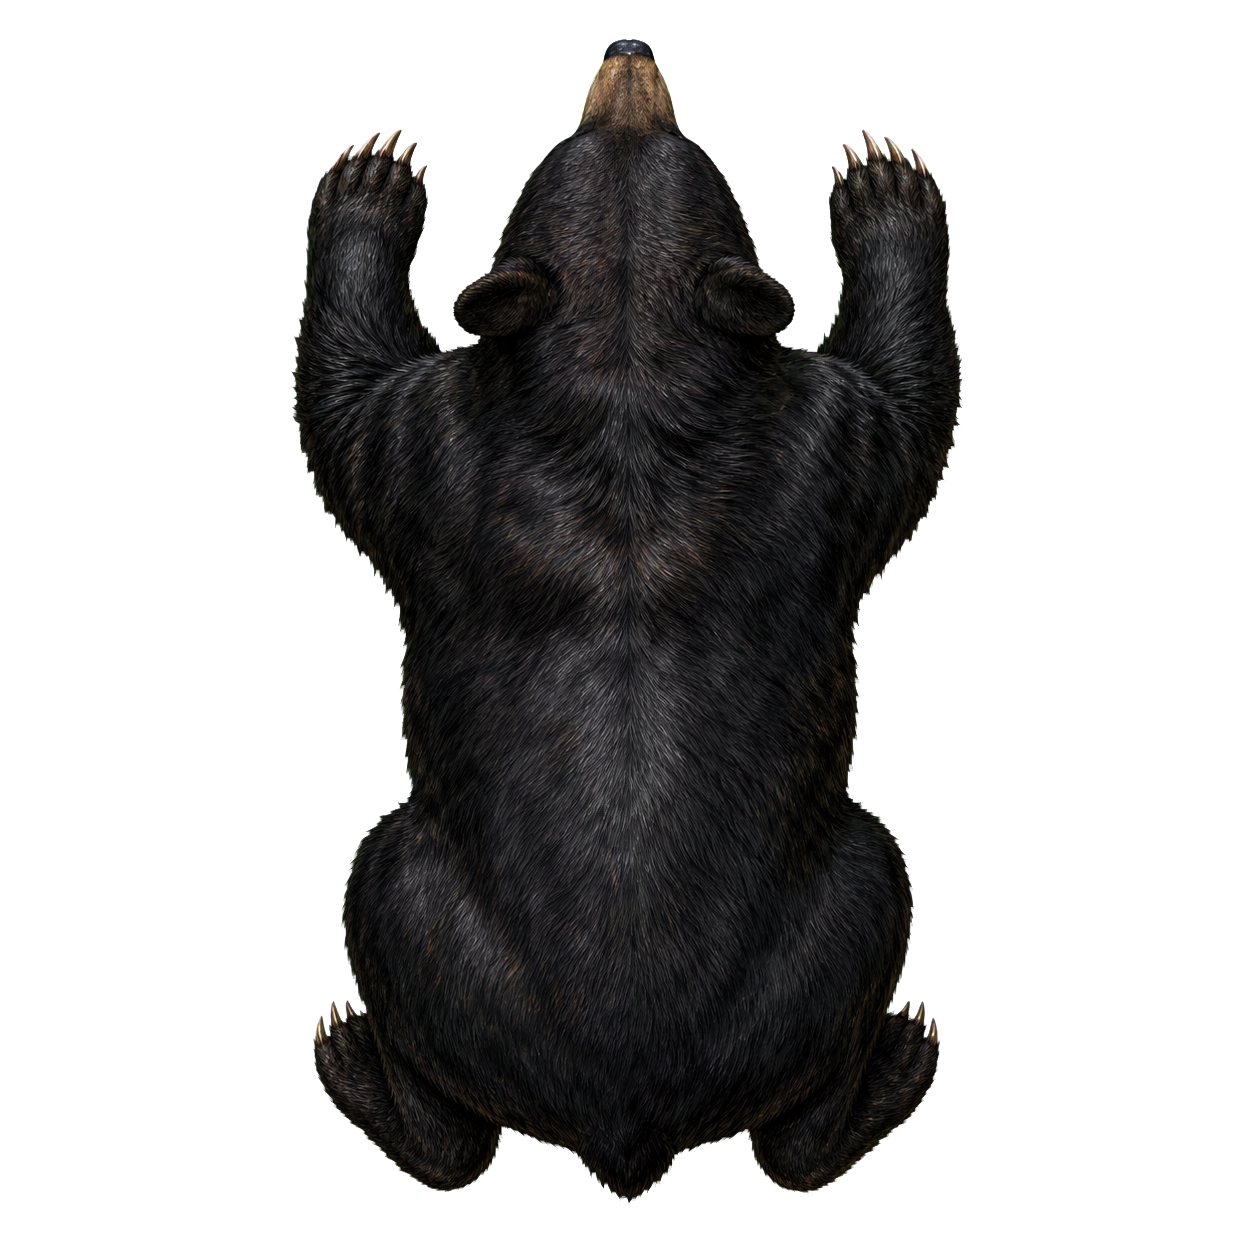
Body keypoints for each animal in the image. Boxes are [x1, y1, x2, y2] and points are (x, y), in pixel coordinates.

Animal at [297, 38, 960, 1201]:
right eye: (577, 149)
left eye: (677, 152)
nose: (629, 55)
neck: (626, 369)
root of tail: (625, 1125)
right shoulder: (439, 444)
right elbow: (341, 401)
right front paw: (376, 173)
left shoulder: (820, 445)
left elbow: (913, 403)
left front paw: (882, 179)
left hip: (790, 945)